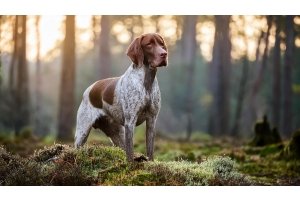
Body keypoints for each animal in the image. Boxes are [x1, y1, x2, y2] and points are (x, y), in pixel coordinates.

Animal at [74, 32, 168, 161]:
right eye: (149, 44)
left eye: (161, 44)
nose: (164, 54)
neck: (146, 82)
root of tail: (89, 89)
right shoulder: (130, 122)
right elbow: (130, 152)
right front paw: (131, 164)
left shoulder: (151, 120)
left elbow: (150, 150)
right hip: (82, 131)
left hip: (117, 133)